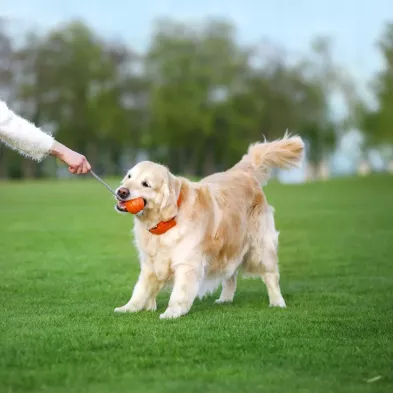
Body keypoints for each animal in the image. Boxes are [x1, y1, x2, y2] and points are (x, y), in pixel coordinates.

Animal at [113, 135, 304, 318]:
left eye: (146, 184)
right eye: (129, 177)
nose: (121, 191)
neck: (165, 221)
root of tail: (243, 172)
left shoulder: (187, 263)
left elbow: (179, 293)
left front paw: (172, 313)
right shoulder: (150, 263)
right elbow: (141, 289)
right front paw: (129, 308)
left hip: (261, 248)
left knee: (271, 276)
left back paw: (277, 302)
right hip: (229, 247)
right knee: (230, 275)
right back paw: (225, 299)